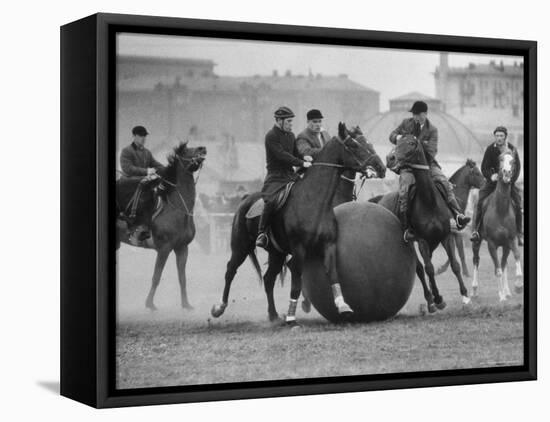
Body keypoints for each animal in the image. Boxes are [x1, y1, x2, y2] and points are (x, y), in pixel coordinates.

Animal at [117, 142, 208, 310]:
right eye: (186, 150)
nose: (202, 148)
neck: (177, 208)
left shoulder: (182, 248)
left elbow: (182, 278)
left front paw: (186, 305)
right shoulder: (164, 249)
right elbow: (156, 276)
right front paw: (149, 304)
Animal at [211, 124, 388, 324]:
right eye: (354, 145)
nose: (381, 167)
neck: (314, 200)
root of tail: (245, 199)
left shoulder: (328, 245)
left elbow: (333, 274)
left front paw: (343, 306)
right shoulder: (299, 250)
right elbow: (296, 283)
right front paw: (292, 316)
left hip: (277, 253)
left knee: (268, 279)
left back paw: (273, 315)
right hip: (240, 247)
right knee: (230, 271)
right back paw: (219, 308)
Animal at [382, 135, 472, 314]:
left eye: (411, 143)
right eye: (397, 142)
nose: (390, 158)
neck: (429, 201)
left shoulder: (446, 236)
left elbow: (455, 265)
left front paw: (465, 296)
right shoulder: (422, 240)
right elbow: (428, 268)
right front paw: (437, 299)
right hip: (412, 243)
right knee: (420, 269)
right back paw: (430, 300)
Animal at [472, 150, 524, 302]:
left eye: (513, 161)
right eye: (500, 159)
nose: (506, 172)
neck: (501, 209)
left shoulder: (511, 240)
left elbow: (516, 258)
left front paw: (518, 287)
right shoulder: (491, 244)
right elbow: (497, 270)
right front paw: (501, 297)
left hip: (505, 245)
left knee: (503, 263)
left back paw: (507, 291)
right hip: (476, 243)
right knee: (476, 261)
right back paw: (474, 291)